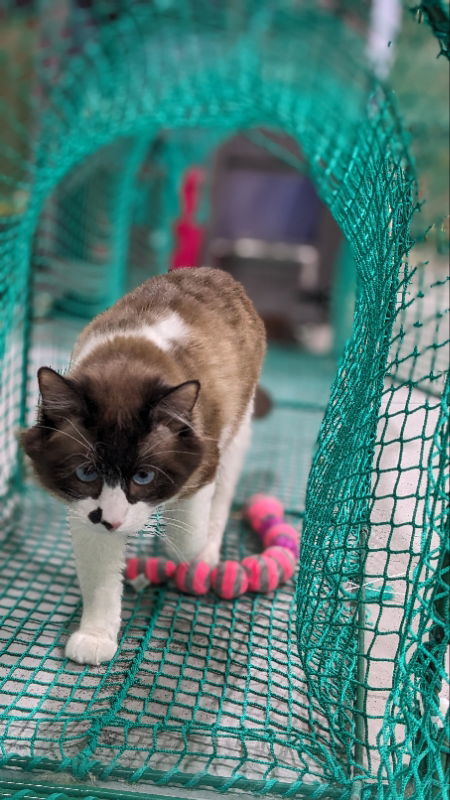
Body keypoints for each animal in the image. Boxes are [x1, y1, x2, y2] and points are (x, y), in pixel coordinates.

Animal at [21, 266, 266, 664]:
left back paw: (206, 556)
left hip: (239, 433)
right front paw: (96, 637)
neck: (128, 361)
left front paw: (177, 547)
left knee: (218, 507)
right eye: (87, 472)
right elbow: (101, 579)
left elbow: (185, 539)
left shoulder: (204, 463)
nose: (113, 521)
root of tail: (216, 272)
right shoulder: (84, 511)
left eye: (144, 476)